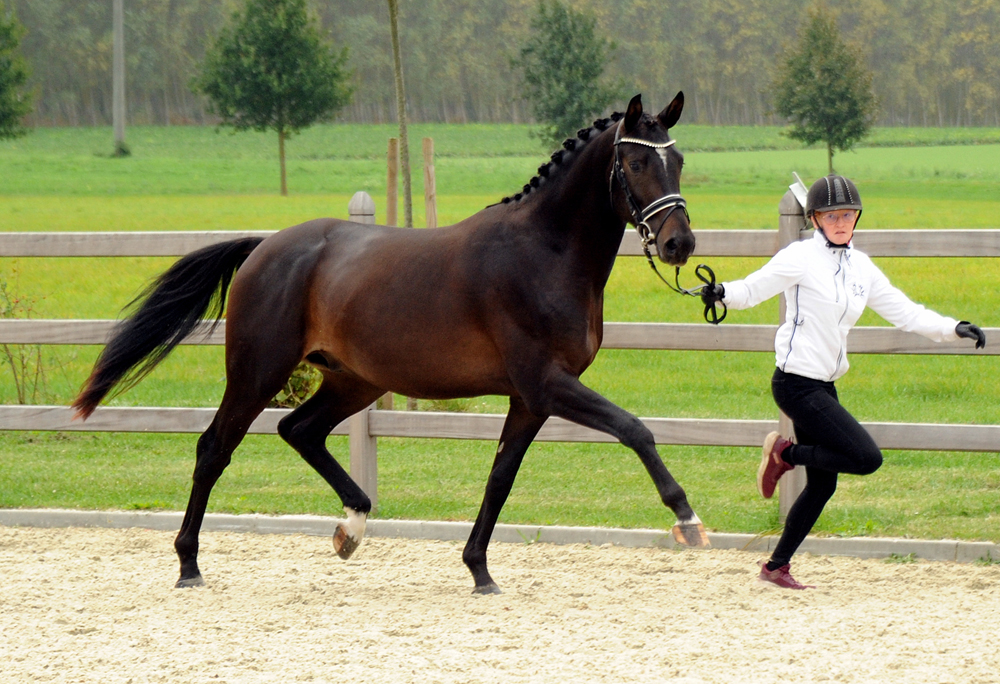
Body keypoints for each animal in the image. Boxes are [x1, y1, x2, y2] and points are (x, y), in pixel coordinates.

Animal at [74, 92, 708, 592]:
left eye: (677, 159)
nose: (679, 243)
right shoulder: (547, 384)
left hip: (352, 380)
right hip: (258, 373)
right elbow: (634, 429)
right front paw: (687, 518)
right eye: (634, 161)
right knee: (214, 449)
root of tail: (266, 246)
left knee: (299, 430)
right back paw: (189, 564)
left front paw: (479, 570)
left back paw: (351, 527)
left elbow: (500, 477)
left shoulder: (530, 399)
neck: (544, 253)